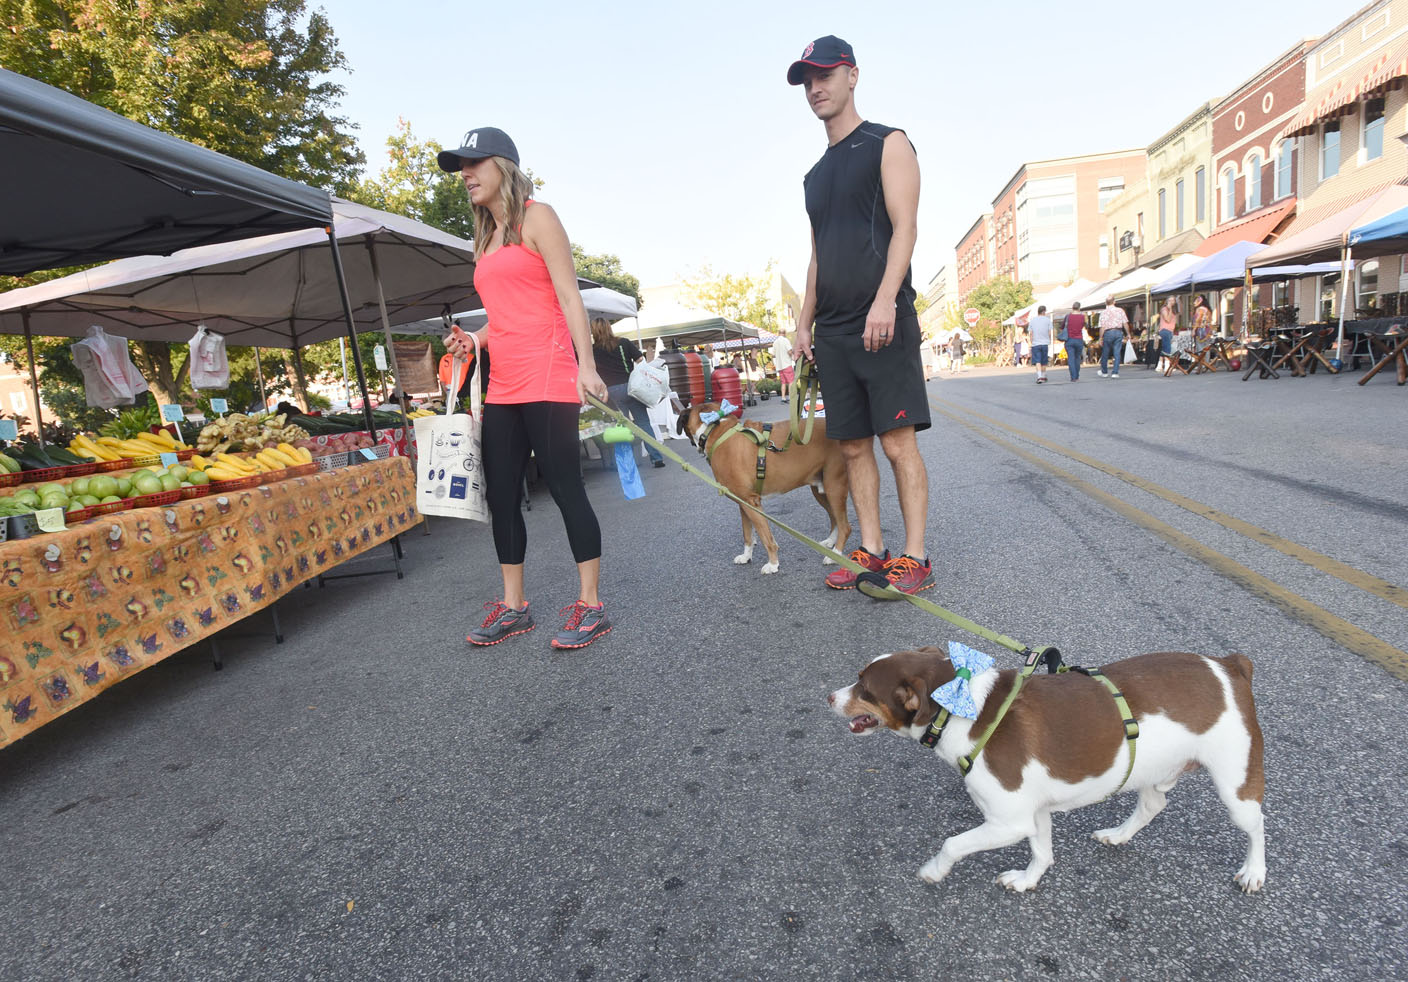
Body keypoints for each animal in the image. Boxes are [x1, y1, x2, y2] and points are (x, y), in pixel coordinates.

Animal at [675, 402, 850, 574]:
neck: (716, 430)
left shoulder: (751, 503)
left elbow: (766, 536)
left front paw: (773, 564)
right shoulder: (743, 503)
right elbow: (747, 535)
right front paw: (746, 556)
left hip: (834, 488)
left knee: (845, 527)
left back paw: (836, 554)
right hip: (821, 491)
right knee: (834, 519)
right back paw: (830, 543)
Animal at [827, 648, 1272, 890]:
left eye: (864, 687)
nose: (829, 697)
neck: (961, 709)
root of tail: (1229, 665)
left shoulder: (1007, 821)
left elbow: (953, 843)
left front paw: (935, 871)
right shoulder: (1033, 813)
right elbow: (1042, 852)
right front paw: (1028, 880)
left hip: (1235, 783)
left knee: (1256, 826)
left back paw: (1254, 871)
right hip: (1155, 770)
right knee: (1151, 806)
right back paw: (1118, 834)